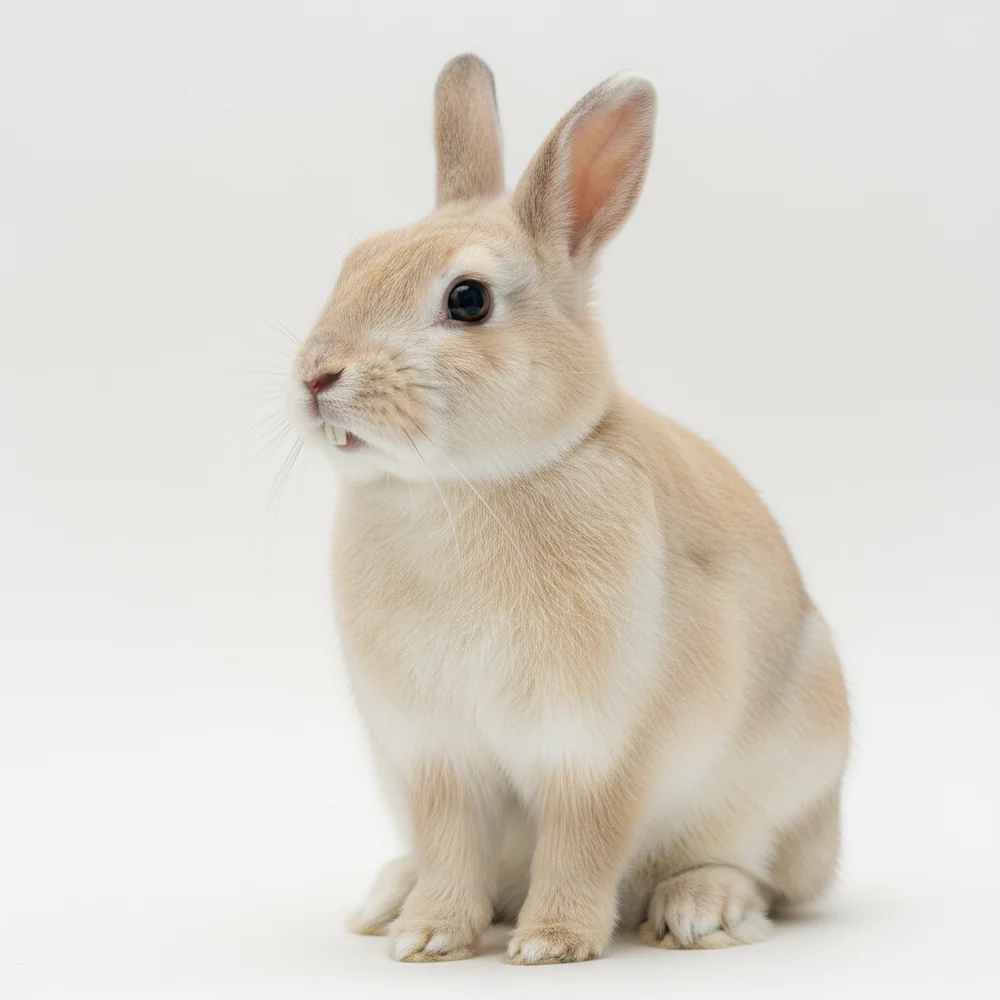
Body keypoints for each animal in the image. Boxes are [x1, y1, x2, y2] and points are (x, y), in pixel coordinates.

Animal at [286, 54, 850, 964]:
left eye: (468, 300)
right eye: (354, 262)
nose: (316, 376)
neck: (462, 487)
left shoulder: (600, 749)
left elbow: (584, 841)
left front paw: (551, 942)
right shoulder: (433, 755)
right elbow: (450, 845)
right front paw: (429, 935)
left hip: (783, 788)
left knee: (761, 872)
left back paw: (701, 908)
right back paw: (389, 896)